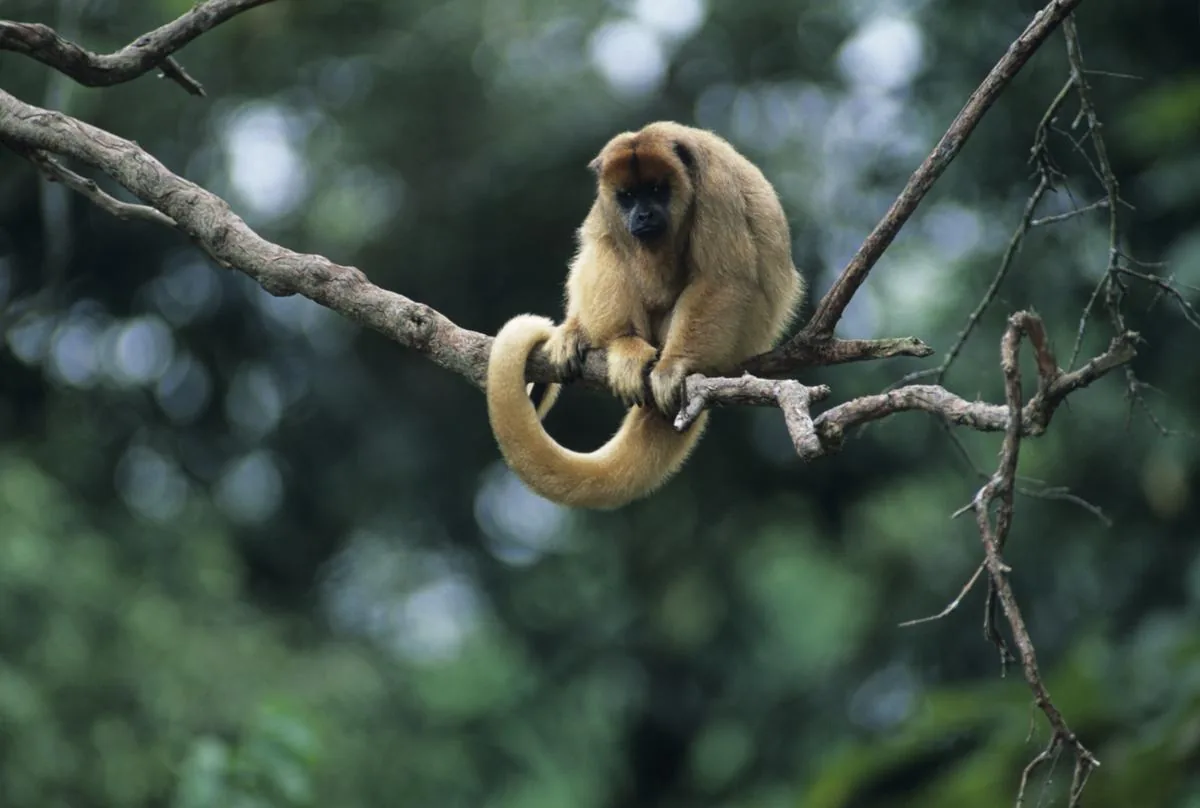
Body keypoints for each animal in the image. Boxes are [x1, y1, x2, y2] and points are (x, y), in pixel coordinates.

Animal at [486, 121, 804, 510]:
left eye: (656, 190)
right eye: (627, 196)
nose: (644, 214)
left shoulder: (718, 190)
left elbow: (724, 279)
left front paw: (674, 367)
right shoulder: (606, 208)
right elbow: (600, 241)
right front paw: (580, 332)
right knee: (607, 248)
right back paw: (618, 344)